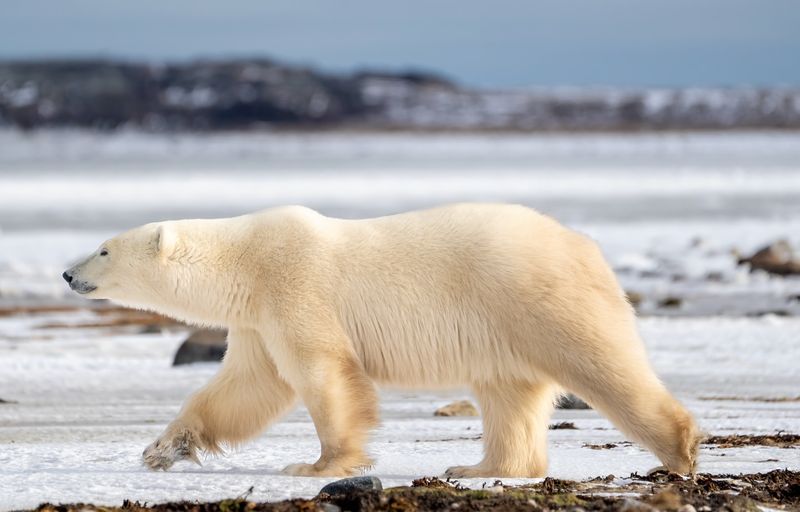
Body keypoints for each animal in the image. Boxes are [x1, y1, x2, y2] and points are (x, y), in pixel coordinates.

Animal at [64, 203, 700, 476]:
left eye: (103, 248)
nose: (68, 274)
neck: (245, 261)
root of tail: (583, 245)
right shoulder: (257, 320)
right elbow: (246, 387)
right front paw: (162, 448)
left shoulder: (294, 286)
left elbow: (323, 374)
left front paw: (319, 466)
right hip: (504, 327)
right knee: (508, 396)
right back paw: (476, 468)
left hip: (534, 296)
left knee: (602, 365)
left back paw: (680, 449)